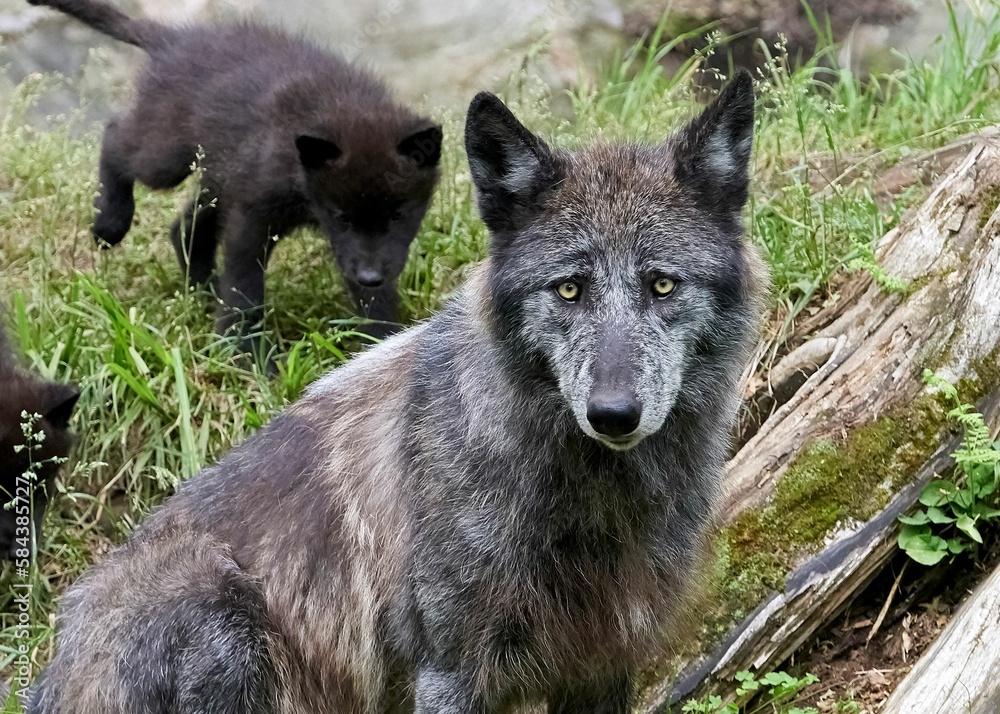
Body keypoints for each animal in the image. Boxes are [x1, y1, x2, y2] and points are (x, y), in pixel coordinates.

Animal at [28, 0, 442, 348]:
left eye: (399, 215)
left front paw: (383, 341)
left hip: (217, 173)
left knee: (185, 227)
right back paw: (110, 222)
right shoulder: (253, 216)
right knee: (116, 138)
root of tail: (174, 39)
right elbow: (245, 289)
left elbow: (376, 298)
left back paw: (203, 291)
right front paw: (247, 356)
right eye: (341, 217)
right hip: (168, 156)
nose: (369, 276)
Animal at [29, 71, 764, 713]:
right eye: (569, 289)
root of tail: (51, 672)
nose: (613, 415)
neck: (592, 505)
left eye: (662, 285)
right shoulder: (450, 674)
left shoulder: (604, 666)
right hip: (221, 614)